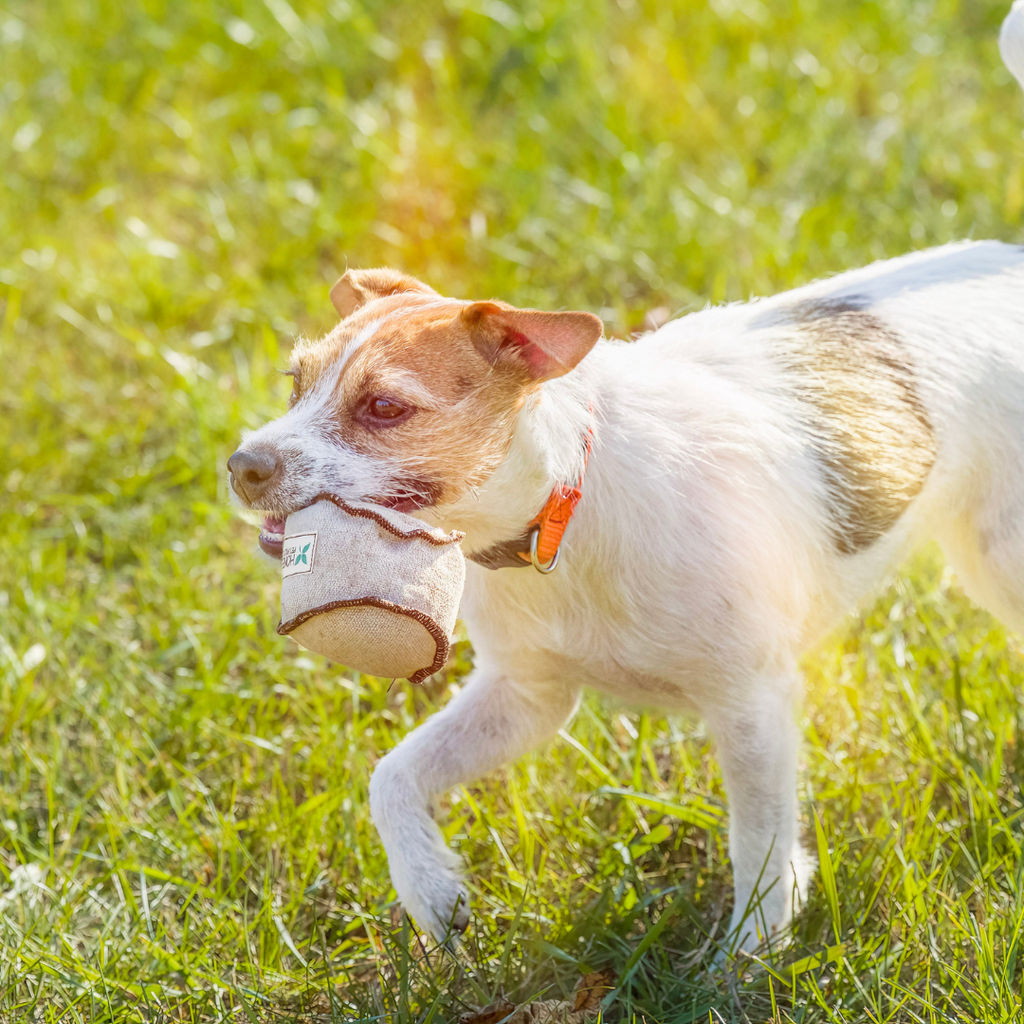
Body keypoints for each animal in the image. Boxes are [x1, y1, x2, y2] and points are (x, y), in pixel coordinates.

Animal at [228, 6, 1024, 950]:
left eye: (385, 407)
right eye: (296, 382)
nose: (242, 466)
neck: (565, 519)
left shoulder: (752, 704)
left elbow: (758, 843)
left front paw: (748, 956)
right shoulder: (529, 696)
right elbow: (393, 775)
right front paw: (432, 891)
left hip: (1004, 558)